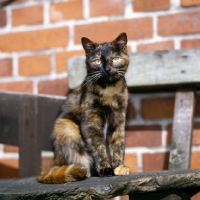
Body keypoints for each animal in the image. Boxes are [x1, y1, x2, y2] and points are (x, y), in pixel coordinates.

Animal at [37, 32, 130, 183]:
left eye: (115, 59)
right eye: (98, 61)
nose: (107, 69)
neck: (109, 90)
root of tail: (55, 161)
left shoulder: (118, 120)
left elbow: (118, 144)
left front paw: (119, 167)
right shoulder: (91, 122)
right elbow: (99, 147)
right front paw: (105, 169)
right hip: (67, 128)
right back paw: (82, 171)